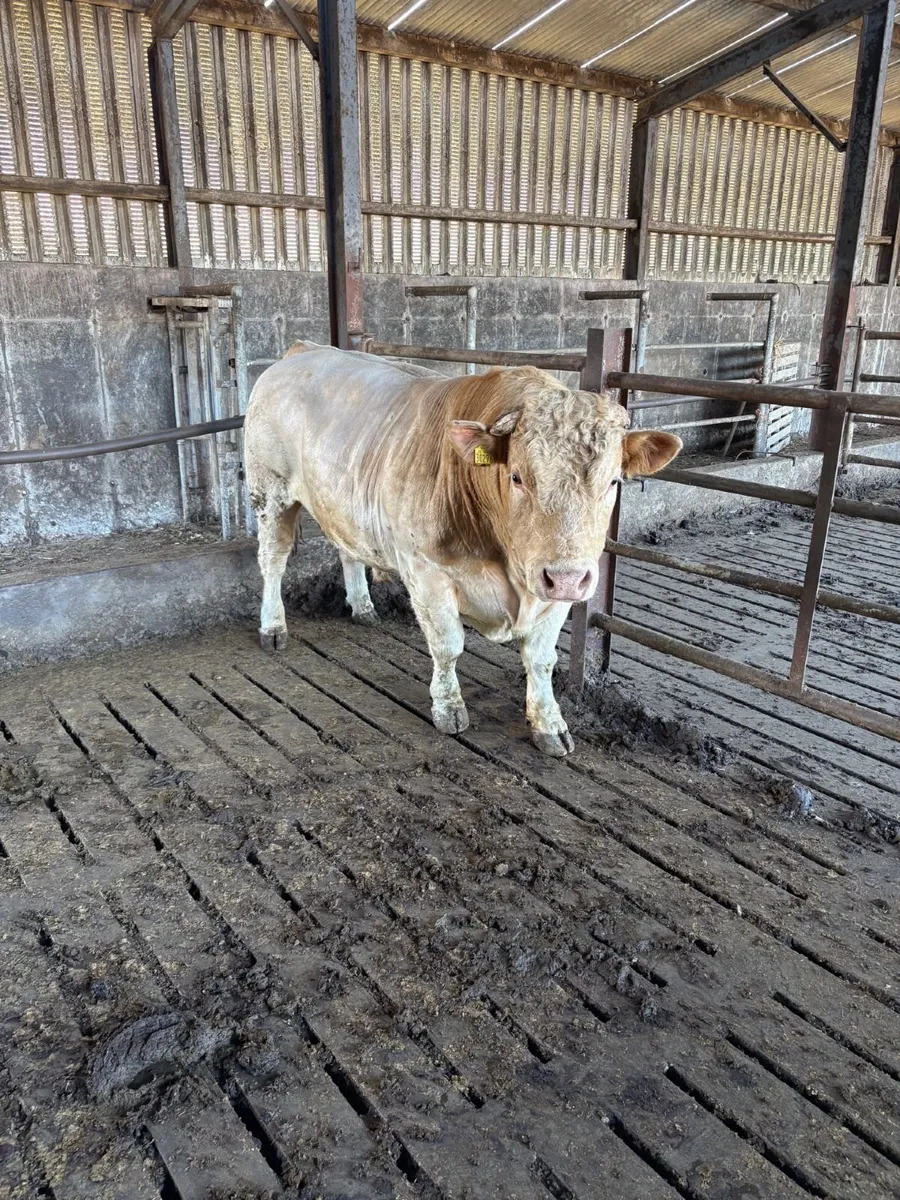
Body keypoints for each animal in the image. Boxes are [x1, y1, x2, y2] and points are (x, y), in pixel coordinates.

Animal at [244, 342, 680, 756]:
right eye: (517, 477)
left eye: (613, 482)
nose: (566, 577)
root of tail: (305, 349)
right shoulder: (426, 571)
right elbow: (448, 646)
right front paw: (448, 708)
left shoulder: (557, 588)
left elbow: (541, 660)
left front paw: (550, 724)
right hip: (270, 491)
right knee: (272, 562)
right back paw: (273, 627)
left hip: (339, 500)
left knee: (347, 549)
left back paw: (363, 607)